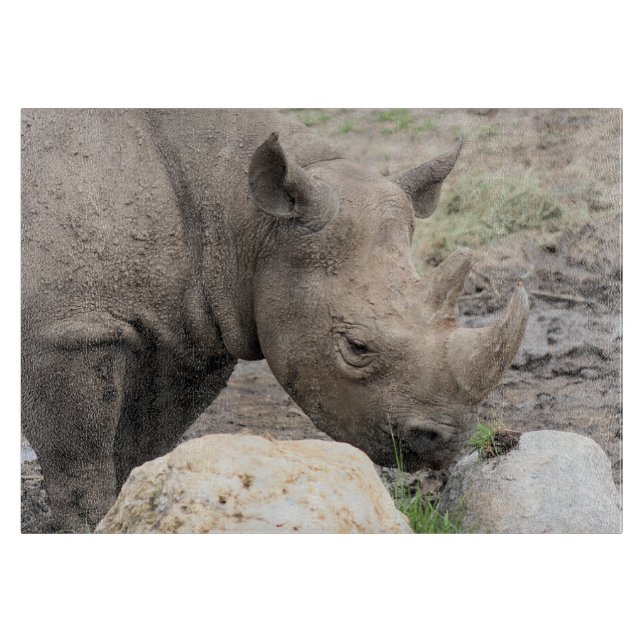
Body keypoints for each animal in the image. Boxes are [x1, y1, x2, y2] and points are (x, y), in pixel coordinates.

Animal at [21, 109, 528, 532]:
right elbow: (80, 458)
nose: (447, 441)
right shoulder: (68, 331)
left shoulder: (192, 331)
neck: (243, 214)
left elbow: (146, 438)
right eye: (356, 347)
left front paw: (140, 500)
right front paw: (91, 524)